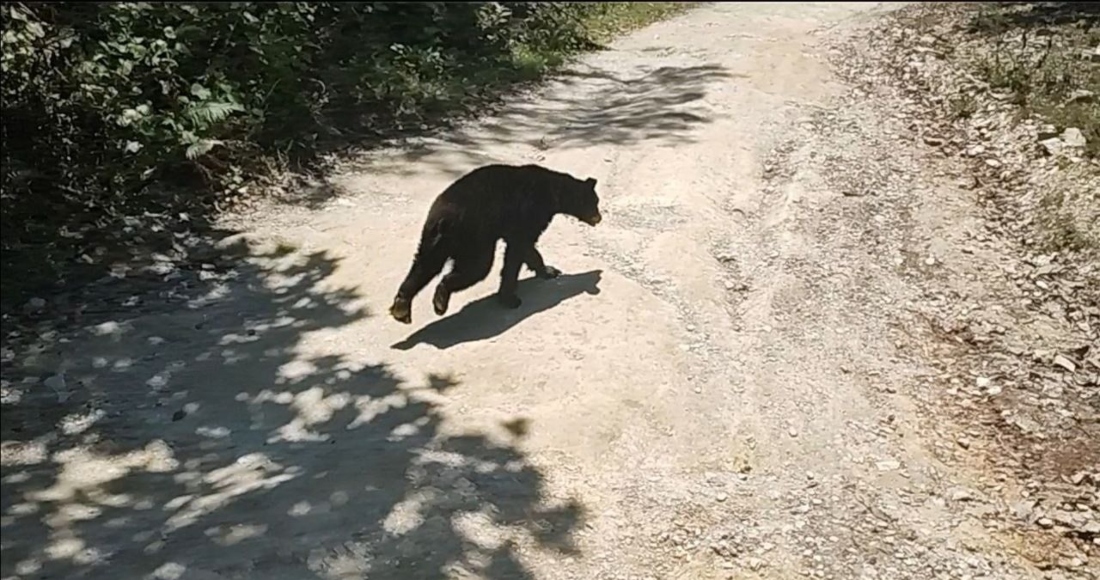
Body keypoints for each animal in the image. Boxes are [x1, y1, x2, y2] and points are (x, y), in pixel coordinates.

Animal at [391, 162, 607, 323]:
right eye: (594, 202)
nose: (599, 218)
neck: (553, 194)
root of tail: (444, 220)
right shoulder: (529, 213)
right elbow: (519, 249)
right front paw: (509, 297)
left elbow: (528, 249)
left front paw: (549, 270)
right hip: (474, 238)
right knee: (476, 268)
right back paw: (441, 298)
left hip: (434, 238)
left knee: (425, 265)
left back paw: (401, 306)